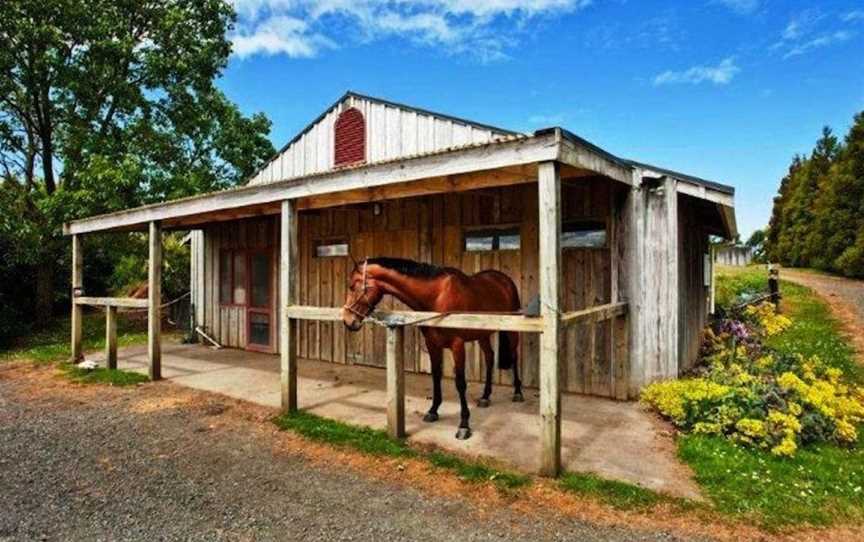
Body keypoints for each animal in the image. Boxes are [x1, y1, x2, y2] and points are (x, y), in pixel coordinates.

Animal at [340, 256, 524, 442]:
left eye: (352, 286)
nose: (348, 321)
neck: (437, 296)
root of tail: (504, 280)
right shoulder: (432, 344)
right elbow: (435, 376)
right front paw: (433, 411)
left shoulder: (457, 345)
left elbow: (460, 383)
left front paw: (464, 425)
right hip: (482, 334)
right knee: (489, 357)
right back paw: (485, 397)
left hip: (512, 331)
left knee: (514, 357)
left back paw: (517, 392)